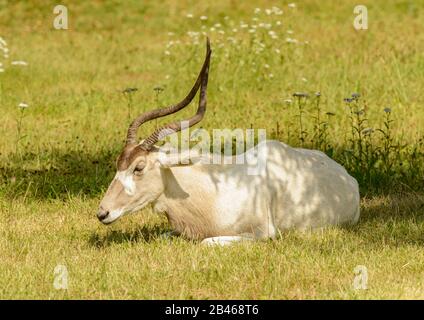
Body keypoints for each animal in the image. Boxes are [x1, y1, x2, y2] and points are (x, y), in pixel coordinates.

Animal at [97, 38, 360, 246]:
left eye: (139, 167)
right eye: (118, 164)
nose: (102, 213)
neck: (211, 191)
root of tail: (346, 175)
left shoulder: (262, 234)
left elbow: (207, 242)